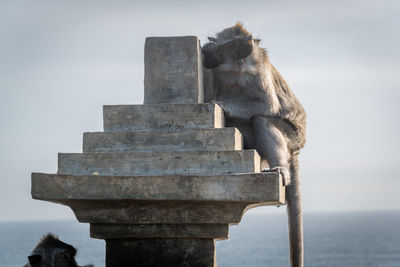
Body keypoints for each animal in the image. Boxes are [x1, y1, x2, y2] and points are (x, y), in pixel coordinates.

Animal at [202, 23, 308, 267]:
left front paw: (221, 104)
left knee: (261, 119)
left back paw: (280, 167)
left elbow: (266, 104)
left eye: (245, 46)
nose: (242, 61)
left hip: (293, 136)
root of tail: (296, 149)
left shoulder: (258, 70)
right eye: (231, 46)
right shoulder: (211, 71)